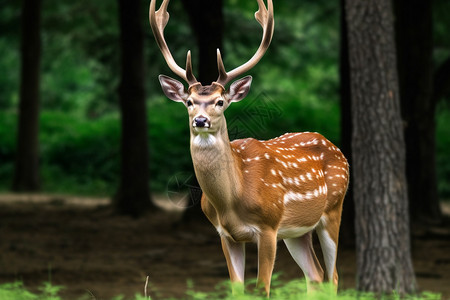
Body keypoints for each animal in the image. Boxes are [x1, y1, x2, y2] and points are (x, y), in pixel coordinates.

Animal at [149, 0, 350, 296]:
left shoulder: (268, 227)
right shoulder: (225, 234)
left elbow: (262, 288)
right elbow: (236, 288)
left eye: (220, 101)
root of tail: (338, 150)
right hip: (296, 230)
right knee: (315, 274)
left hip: (333, 209)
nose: (201, 120)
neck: (232, 199)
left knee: (333, 277)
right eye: (189, 102)